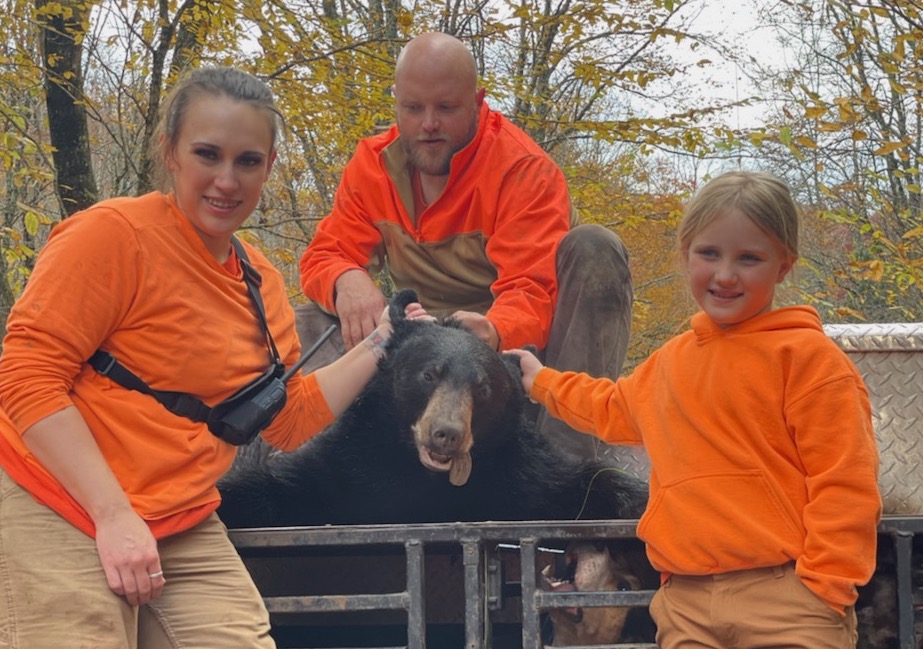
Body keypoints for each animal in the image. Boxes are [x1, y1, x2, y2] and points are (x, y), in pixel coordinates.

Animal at [216, 288, 649, 528]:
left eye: (483, 389)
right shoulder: (346, 465)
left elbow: (588, 482)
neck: (424, 476)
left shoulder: (523, 477)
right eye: (428, 374)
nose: (446, 434)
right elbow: (272, 486)